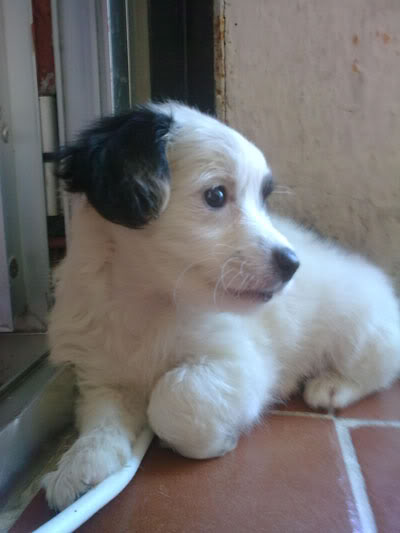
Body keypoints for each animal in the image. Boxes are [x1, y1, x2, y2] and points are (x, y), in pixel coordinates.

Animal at [43, 102, 400, 510]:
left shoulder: (238, 365)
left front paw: (211, 441)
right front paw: (81, 463)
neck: (150, 302)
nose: (292, 264)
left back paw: (332, 386)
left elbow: (173, 396)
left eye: (263, 199)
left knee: (379, 368)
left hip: (362, 330)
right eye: (215, 195)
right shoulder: (103, 374)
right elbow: (101, 419)